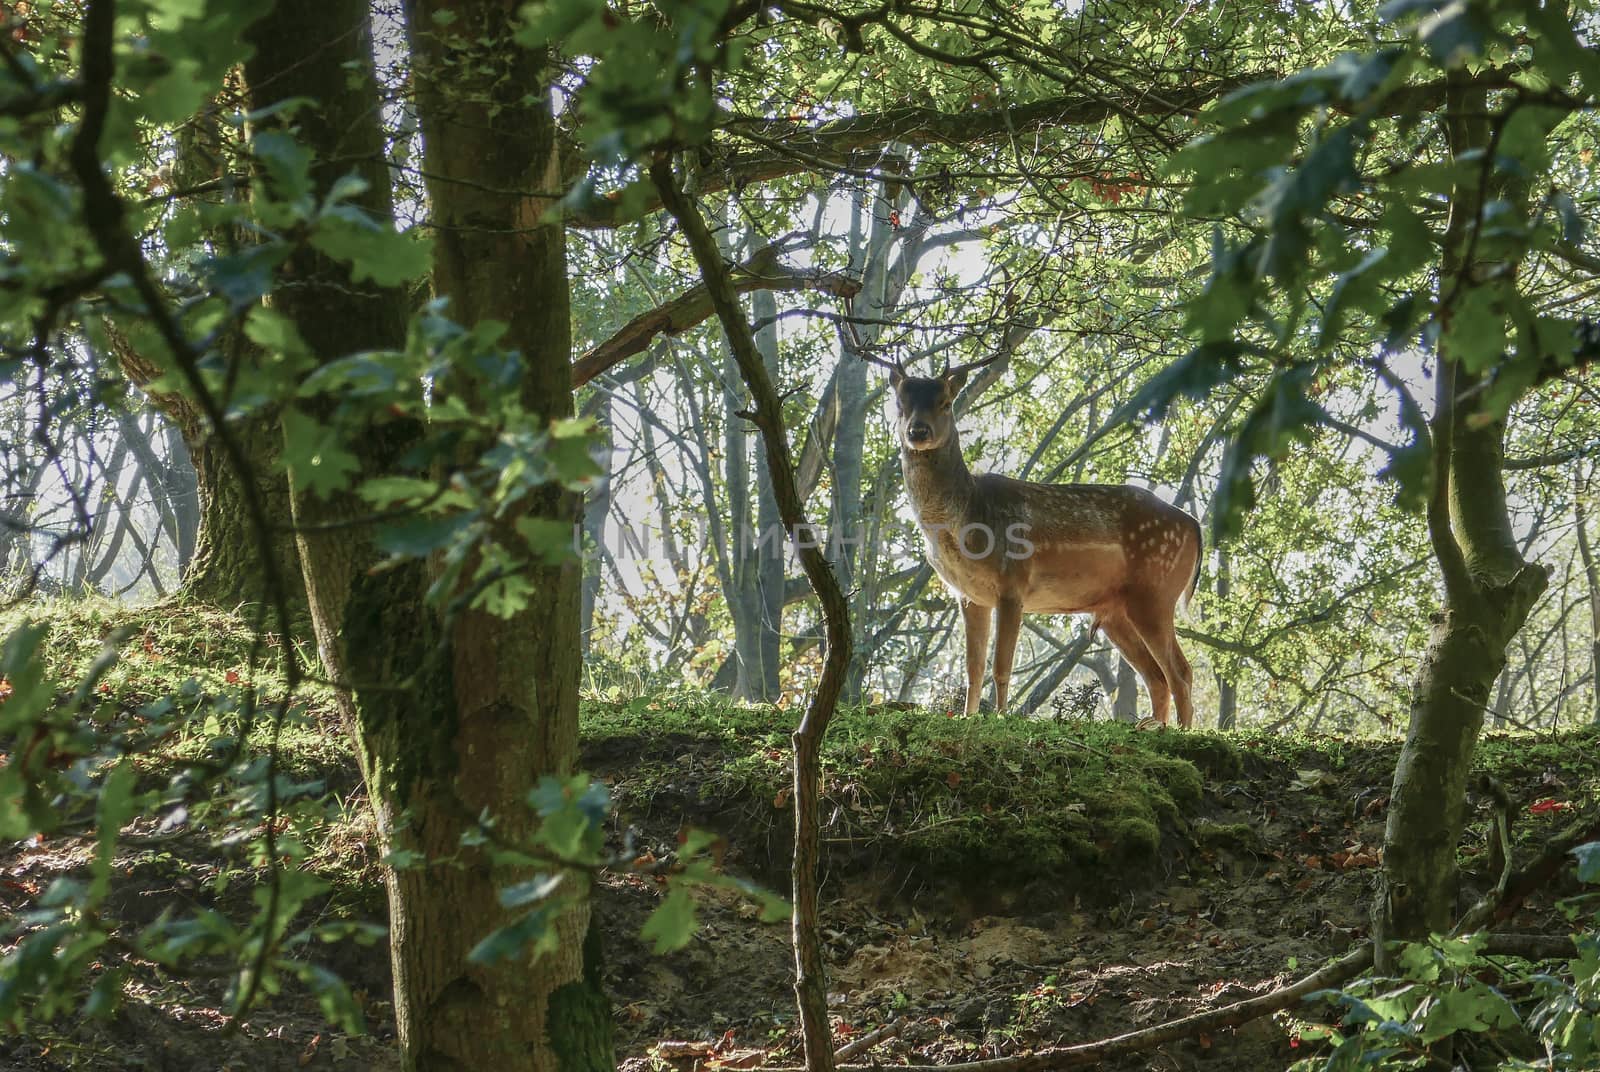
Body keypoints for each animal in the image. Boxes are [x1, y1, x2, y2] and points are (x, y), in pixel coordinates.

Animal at [870, 352, 1203, 729]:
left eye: (945, 402)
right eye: (900, 403)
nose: (918, 431)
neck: (964, 522)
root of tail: (1194, 524)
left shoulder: (1012, 581)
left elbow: (1001, 666)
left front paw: (1001, 718)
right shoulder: (969, 595)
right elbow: (973, 668)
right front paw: (969, 718)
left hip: (1155, 591)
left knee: (1180, 672)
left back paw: (1182, 732)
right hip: (1116, 611)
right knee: (1156, 677)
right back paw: (1152, 727)